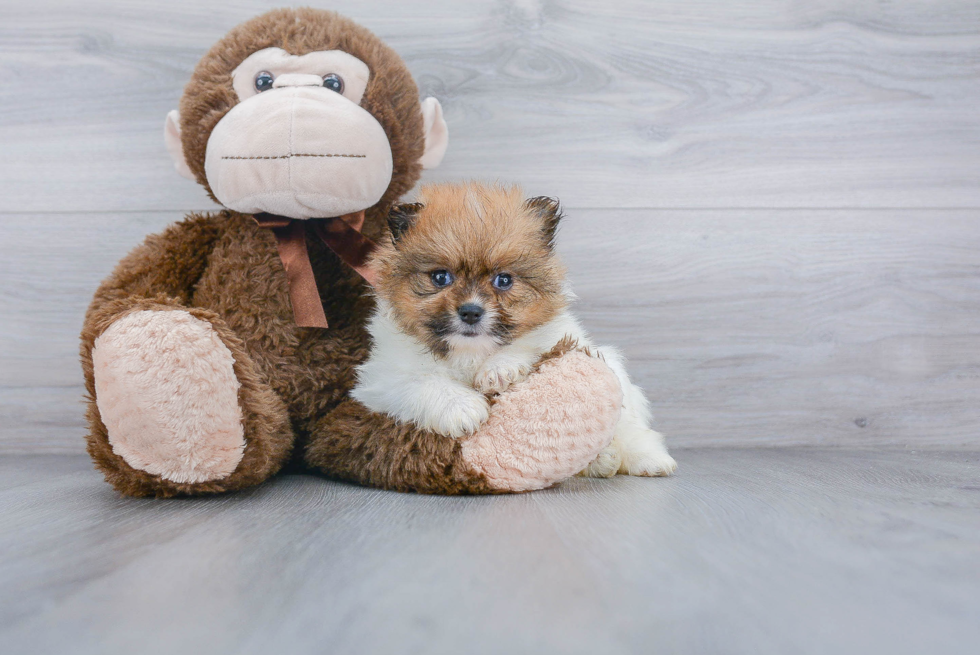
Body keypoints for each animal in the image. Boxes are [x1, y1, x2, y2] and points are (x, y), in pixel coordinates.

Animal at [348, 182, 676, 480]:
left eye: (503, 280)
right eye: (441, 277)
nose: (471, 311)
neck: (470, 353)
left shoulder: (562, 335)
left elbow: (529, 342)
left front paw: (499, 369)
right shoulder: (380, 379)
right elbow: (419, 382)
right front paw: (462, 407)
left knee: (632, 427)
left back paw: (644, 459)